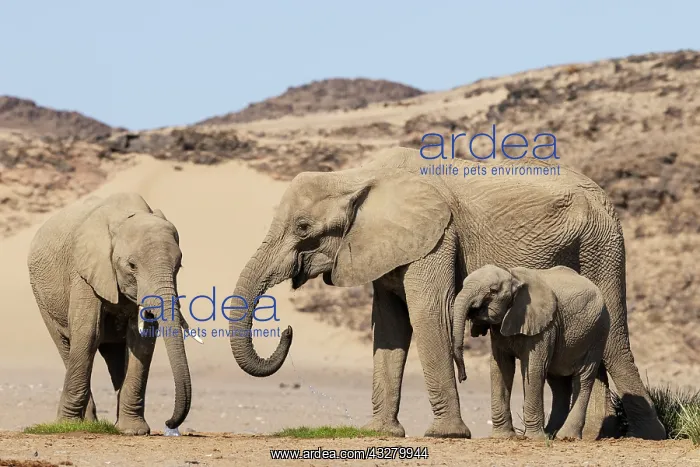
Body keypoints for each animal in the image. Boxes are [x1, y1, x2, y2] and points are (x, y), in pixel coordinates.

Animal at [27, 192, 194, 435]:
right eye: (132, 265)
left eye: (178, 266)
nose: (169, 423)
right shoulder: (84, 272)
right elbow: (88, 334)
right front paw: (64, 426)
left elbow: (142, 341)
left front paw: (133, 432)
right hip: (41, 296)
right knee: (67, 345)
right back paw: (84, 424)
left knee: (115, 356)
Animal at [452, 264, 610, 440]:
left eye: (493, 291)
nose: (463, 377)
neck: (513, 276)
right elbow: (501, 368)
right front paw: (503, 436)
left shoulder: (544, 327)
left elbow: (534, 369)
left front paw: (534, 438)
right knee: (558, 383)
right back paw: (551, 433)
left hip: (597, 334)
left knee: (583, 378)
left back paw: (565, 436)